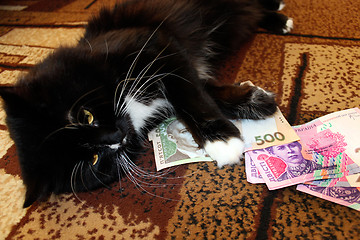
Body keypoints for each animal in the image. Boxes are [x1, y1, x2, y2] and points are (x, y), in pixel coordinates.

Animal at [0, 0, 292, 206]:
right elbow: (203, 90)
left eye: (85, 116)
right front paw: (255, 100)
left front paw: (219, 138)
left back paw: (280, 16)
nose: (116, 136)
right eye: (93, 159)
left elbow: (189, 96)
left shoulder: (157, 45)